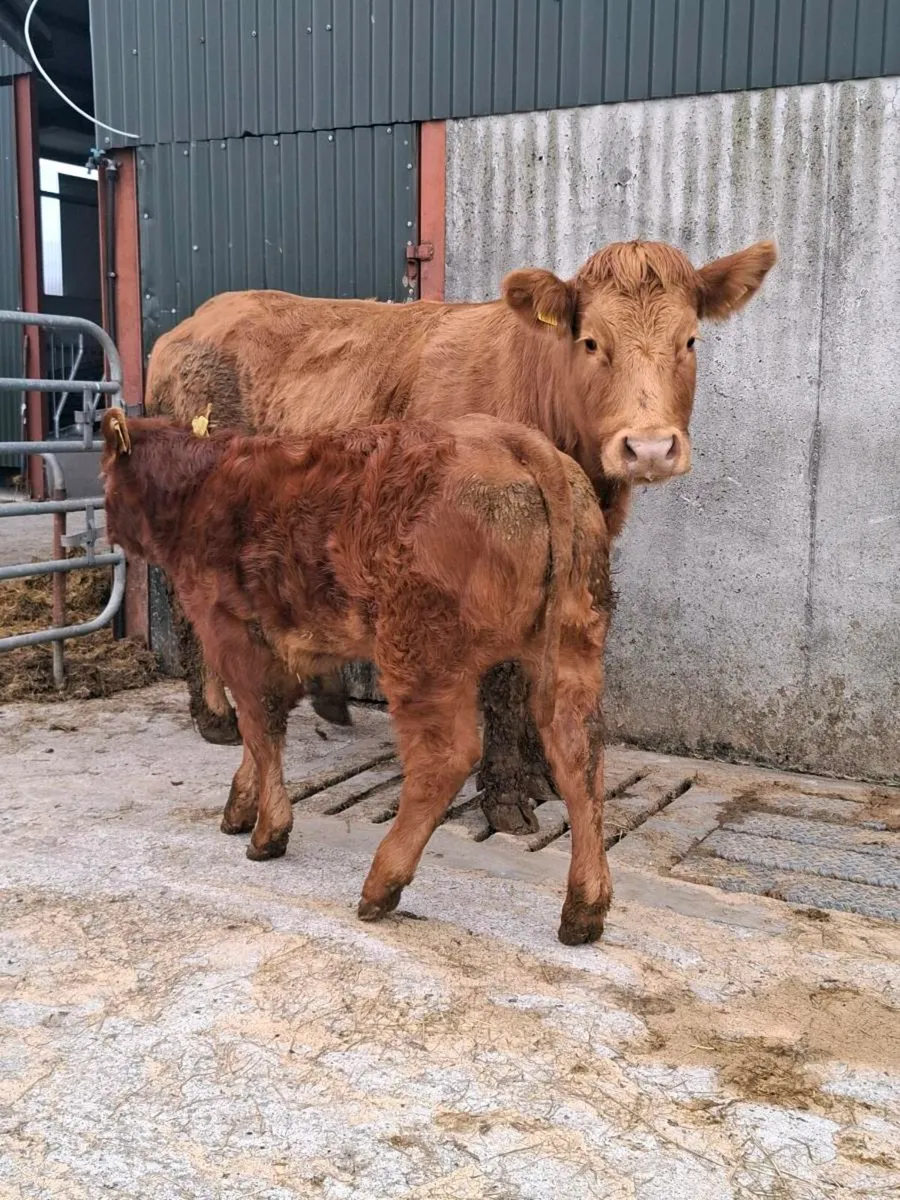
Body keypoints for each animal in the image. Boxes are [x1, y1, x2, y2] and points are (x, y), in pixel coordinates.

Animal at [101, 408, 613, 946]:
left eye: (105, 474)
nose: (107, 528)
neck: (201, 486)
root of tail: (509, 438)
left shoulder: (233, 634)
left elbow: (260, 729)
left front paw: (268, 831)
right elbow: (260, 736)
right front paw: (241, 807)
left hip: (420, 654)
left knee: (444, 759)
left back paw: (381, 883)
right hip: (574, 648)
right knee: (579, 756)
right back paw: (584, 908)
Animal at [146, 237, 777, 831]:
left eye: (690, 341)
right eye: (592, 342)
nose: (648, 447)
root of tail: (188, 326)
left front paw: (543, 778)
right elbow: (501, 678)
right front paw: (505, 797)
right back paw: (216, 717)